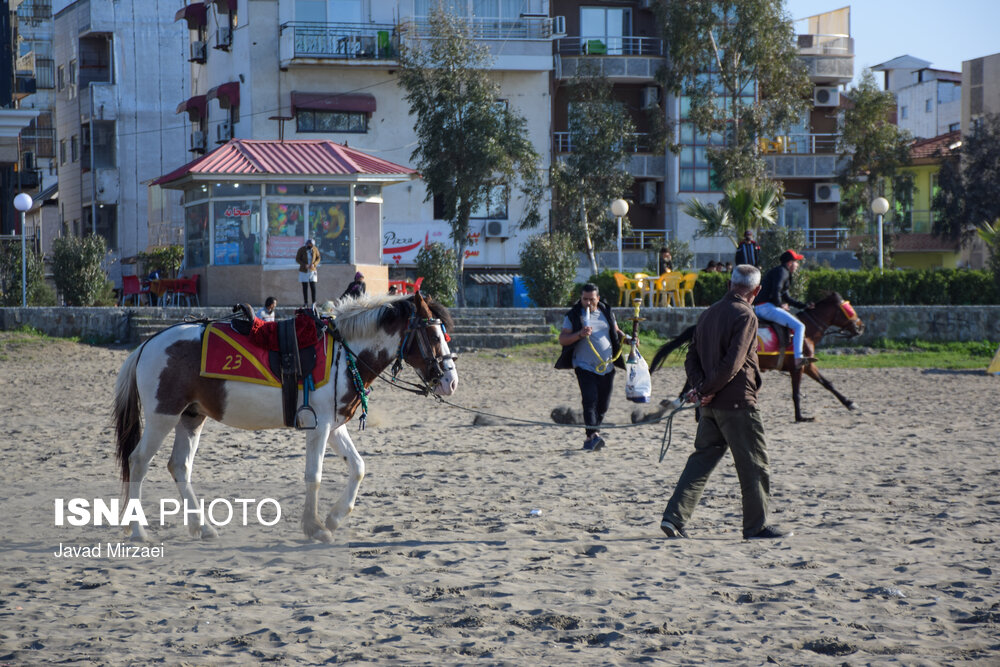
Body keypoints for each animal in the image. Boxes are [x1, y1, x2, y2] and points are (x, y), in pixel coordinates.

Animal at [113, 292, 458, 544]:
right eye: (432, 334)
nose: (450, 381)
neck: (343, 353)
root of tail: (147, 344)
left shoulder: (333, 427)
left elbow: (358, 467)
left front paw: (334, 516)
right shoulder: (319, 427)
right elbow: (314, 476)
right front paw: (315, 527)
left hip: (191, 417)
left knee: (180, 467)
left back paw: (203, 527)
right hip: (163, 416)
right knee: (138, 462)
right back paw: (139, 530)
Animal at [644, 292, 864, 422]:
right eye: (848, 309)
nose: (860, 327)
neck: (806, 331)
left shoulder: (807, 367)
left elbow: (828, 384)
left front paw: (849, 403)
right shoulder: (799, 367)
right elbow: (798, 393)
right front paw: (801, 416)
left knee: (692, 386)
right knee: (694, 386)